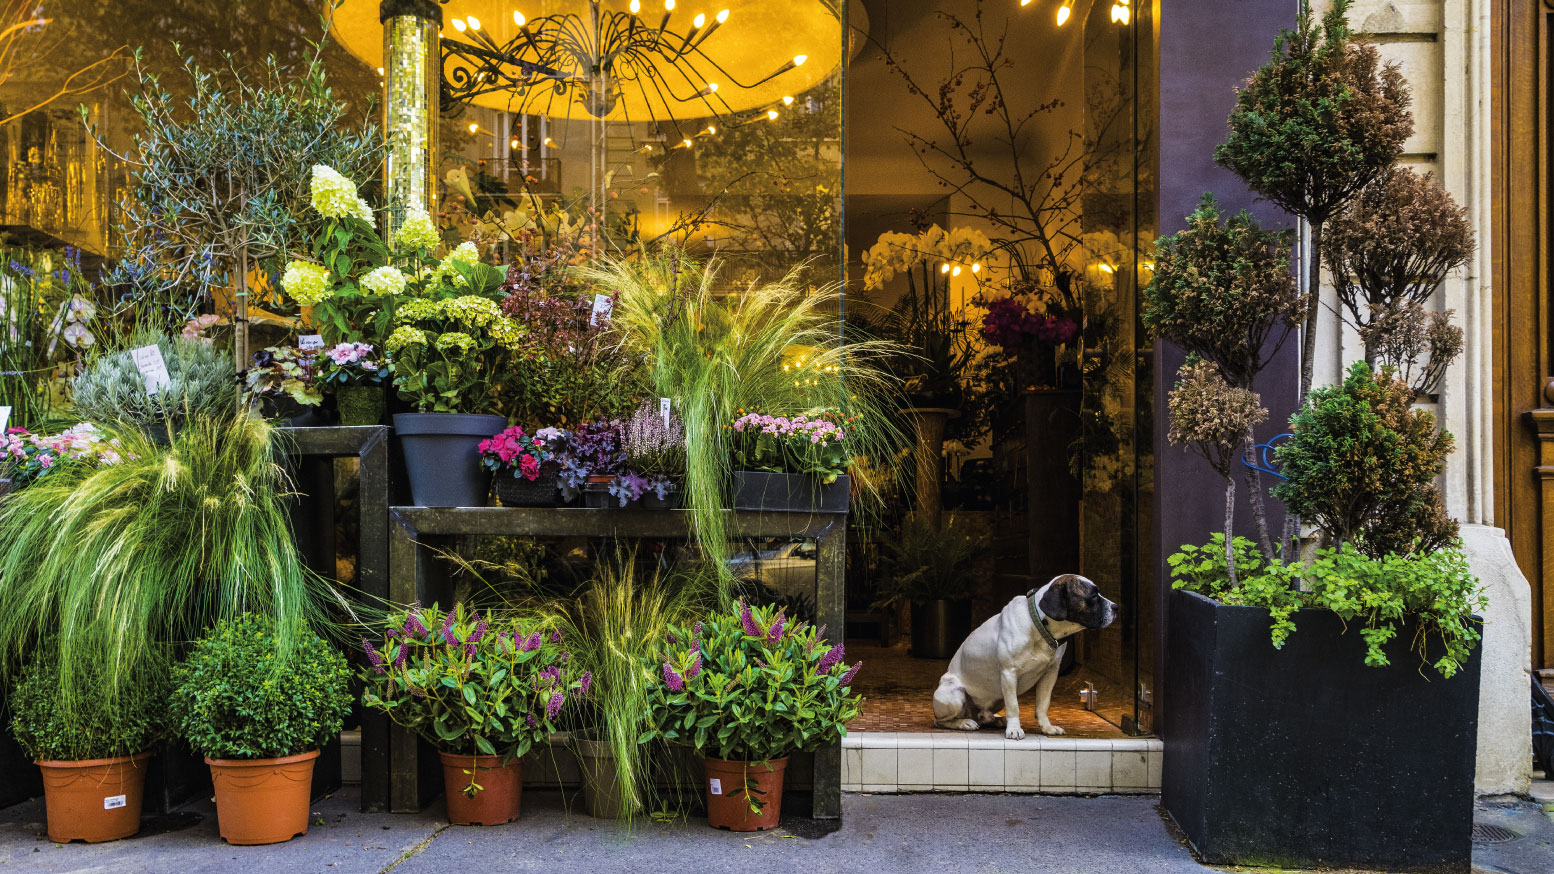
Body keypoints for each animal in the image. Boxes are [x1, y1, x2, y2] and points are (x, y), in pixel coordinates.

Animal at [932, 575, 1118, 737]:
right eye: (1093, 596)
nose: (1116, 607)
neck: (1039, 625)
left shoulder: (1050, 674)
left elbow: (1043, 704)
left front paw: (1047, 727)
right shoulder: (1009, 674)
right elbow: (1014, 705)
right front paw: (1014, 729)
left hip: (997, 698)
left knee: (985, 716)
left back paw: (997, 720)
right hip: (955, 695)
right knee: (941, 721)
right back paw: (964, 722)